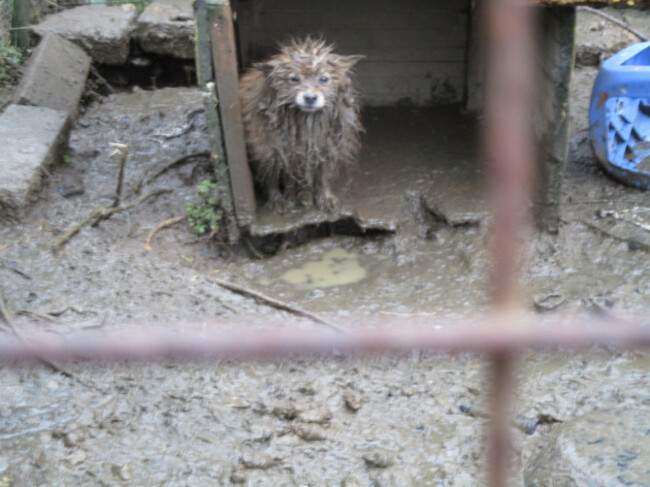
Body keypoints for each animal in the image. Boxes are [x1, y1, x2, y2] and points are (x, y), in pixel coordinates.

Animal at [237, 38, 362, 214]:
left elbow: (322, 176)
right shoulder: (269, 150)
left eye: (324, 79)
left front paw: (325, 198)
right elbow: (272, 177)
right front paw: (278, 200)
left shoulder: (325, 147)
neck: (304, 120)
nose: (310, 97)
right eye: (295, 79)